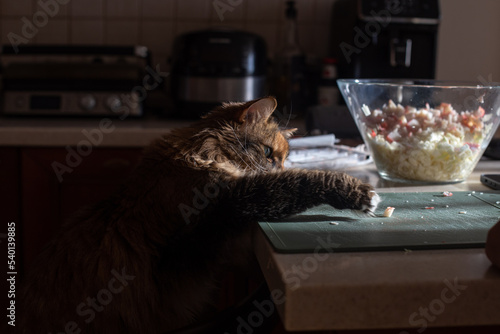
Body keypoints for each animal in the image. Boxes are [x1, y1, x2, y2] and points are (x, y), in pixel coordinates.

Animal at [17, 95, 380, 332]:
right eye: (268, 154)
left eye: (282, 157)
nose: (281, 166)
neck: (197, 150)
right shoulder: (220, 210)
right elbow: (304, 181)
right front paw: (361, 193)